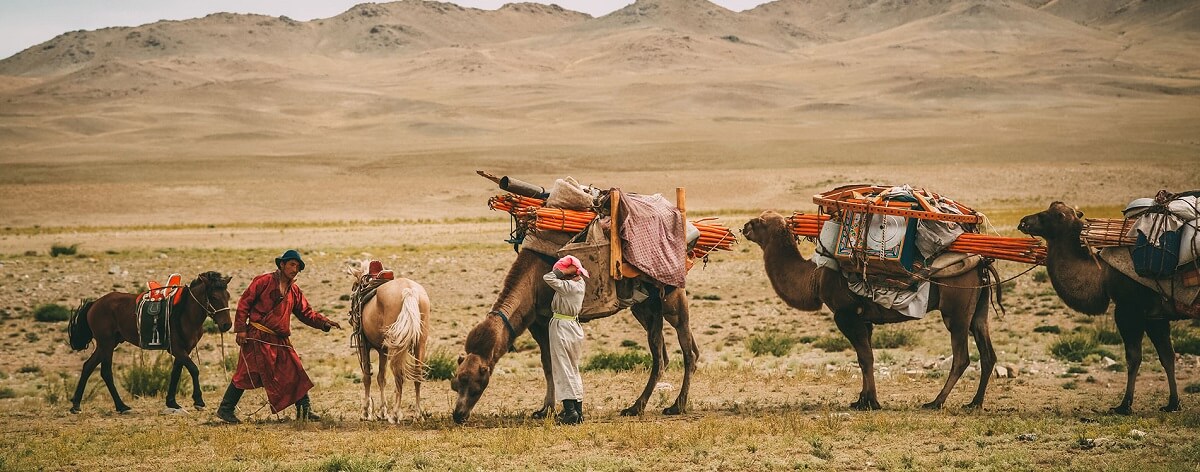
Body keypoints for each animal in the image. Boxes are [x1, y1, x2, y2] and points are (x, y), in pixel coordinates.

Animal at [68, 270, 234, 413]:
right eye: (213, 297)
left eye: (228, 296)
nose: (227, 325)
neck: (185, 313)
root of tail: (95, 303)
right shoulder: (178, 349)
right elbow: (193, 369)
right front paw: (198, 400)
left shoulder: (184, 350)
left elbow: (176, 373)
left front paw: (172, 402)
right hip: (106, 344)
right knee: (106, 372)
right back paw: (121, 406)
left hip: (107, 344)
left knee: (88, 366)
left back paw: (76, 404)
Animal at [348, 263, 432, 420]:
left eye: (354, 286)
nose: (351, 317)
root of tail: (409, 291)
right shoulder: (383, 350)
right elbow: (381, 378)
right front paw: (382, 411)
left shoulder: (364, 345)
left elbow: (367, 377)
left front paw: (366, 412)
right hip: (420, 343)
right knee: (417, 374)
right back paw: (418, 414)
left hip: (397, 346)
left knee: (399, 375)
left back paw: (396, 413)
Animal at [451, 248, 700, 425]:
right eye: (456, 383)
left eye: (477, 387)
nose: (458, 415)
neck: (531, 283)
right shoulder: (536, 322)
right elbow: (547, 364)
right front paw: (544, 410)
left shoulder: (546, 318)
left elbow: (553, 364)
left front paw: (554, 410)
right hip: (645, 306)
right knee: (669, 354)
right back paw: (642, 406)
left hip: (671, 298)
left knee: (683, 351)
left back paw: (671, 406)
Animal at [744, 210, 998, 408]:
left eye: (760, 222)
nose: (744, 226)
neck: (815, 278)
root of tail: (981, 262)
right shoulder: (864, 319)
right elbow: (864, 358)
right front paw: (861, 399)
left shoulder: (845, 315)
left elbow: (866, 357)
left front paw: (872, 402)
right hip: (979, 309)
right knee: (987, 353)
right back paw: (974, 402)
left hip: (956, 309)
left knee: (962, 357)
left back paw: (936, 402)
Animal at [1017, 201, 1185, 413]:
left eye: (1052, 215)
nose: (1023, 222)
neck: (1103, 275)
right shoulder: (1155, 315)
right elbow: (1167, 356)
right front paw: (1172, 403)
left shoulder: (1129, 309)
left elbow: (1133, 357)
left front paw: (1124, 405)